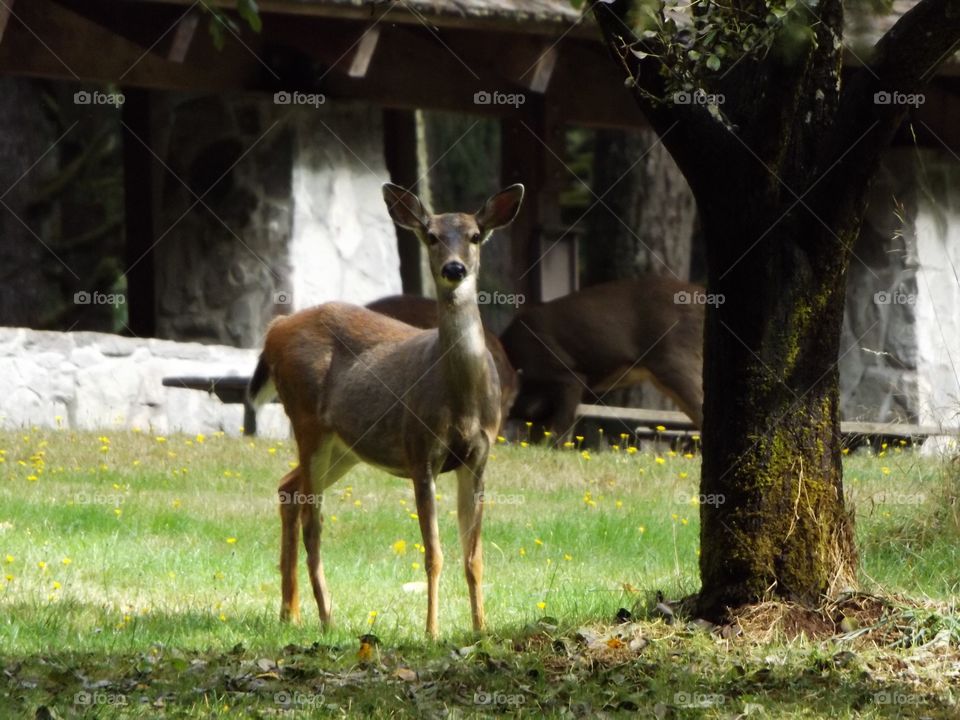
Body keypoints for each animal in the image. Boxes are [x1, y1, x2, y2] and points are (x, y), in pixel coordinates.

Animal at [248, 182, 524, 638]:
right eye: (431, 235)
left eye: (475, 236)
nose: (454, 269)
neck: (461, 399)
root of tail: (275, 329)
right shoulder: (420, 451)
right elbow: (434, 554)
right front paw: (432, 632)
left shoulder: (479, 457)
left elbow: (474, 555)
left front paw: (481, 629)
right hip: (307, 422)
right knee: (311, 519)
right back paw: (326, 616)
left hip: (344, 447)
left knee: (288, 488)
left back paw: (290, 612)